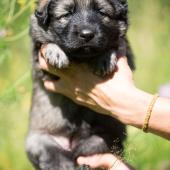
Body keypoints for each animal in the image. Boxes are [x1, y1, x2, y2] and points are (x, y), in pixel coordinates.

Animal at [25, 0, 134, 169]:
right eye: (67, 14)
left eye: (101, 12)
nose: (87, 34)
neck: (81, 58)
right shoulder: (41, 66)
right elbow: (44, 44)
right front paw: (55, 52)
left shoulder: (125, 50)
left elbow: (114, 44)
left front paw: (105, 58)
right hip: (37, 142)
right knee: (57, 158)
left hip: (104, 137)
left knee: (83, 152)